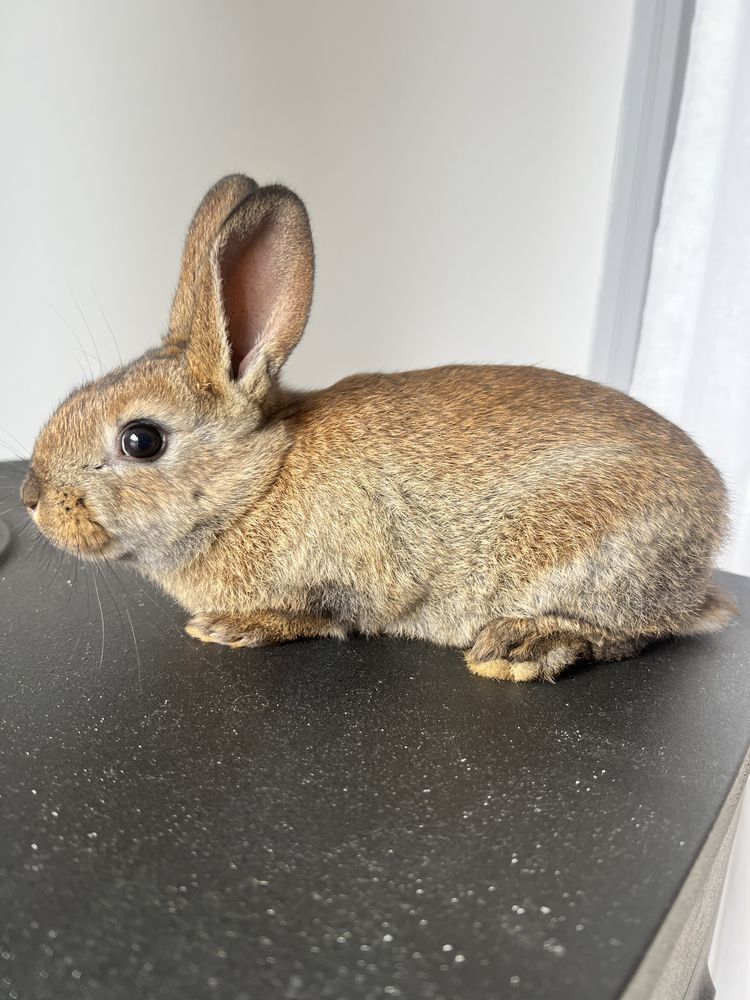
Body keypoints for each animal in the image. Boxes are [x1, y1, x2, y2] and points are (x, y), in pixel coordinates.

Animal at [21, 174, 737, 682]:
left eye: (141, 440)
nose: (31, 499)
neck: (257, 484)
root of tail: (712, 524)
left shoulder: (356, 573)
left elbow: (325, 616)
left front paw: (233, 627)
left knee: (631, 632)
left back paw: (521, 646)